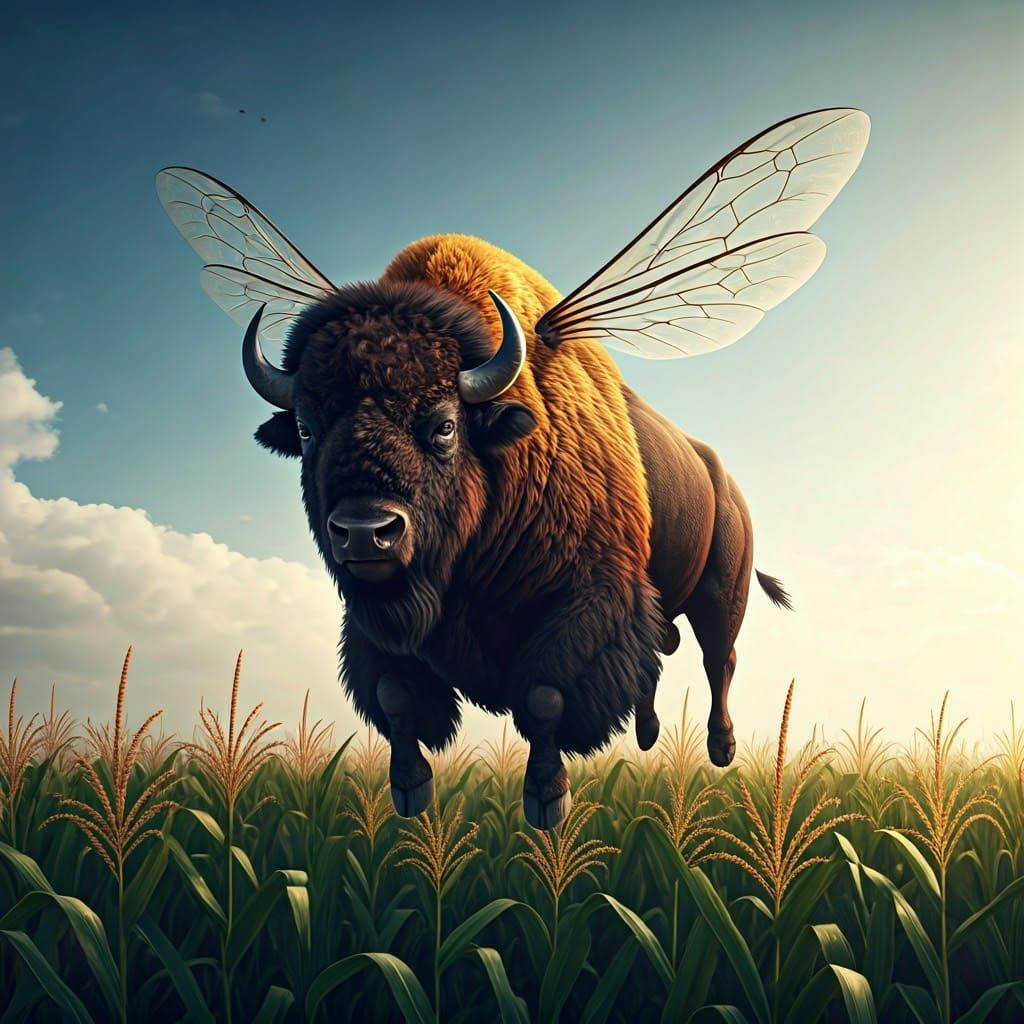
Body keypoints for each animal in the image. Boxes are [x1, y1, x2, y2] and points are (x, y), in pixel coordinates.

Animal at [158, 107, 868, 828]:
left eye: (444, 424)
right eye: (305, 427)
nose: (365, 533)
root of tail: (724, 479)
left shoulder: (582, 604)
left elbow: (546, 697)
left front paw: (547, 800)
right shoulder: (375, 625)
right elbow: (394, 696)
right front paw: (410, 792)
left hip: (722, 591)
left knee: (717, 657)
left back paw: (720, 751)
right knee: (661, 657)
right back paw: (646, 737)